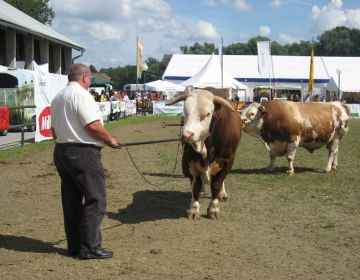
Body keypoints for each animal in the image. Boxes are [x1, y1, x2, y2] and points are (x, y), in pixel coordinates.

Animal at [167, 87, 242, 219]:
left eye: (207, 114)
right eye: (185, 111)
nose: (186, 135)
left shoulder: (227, 161)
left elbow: (217, 184)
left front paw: (213, 209)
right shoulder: (188, 160)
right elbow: (195, 186)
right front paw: (194, 209)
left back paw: (222, 194)